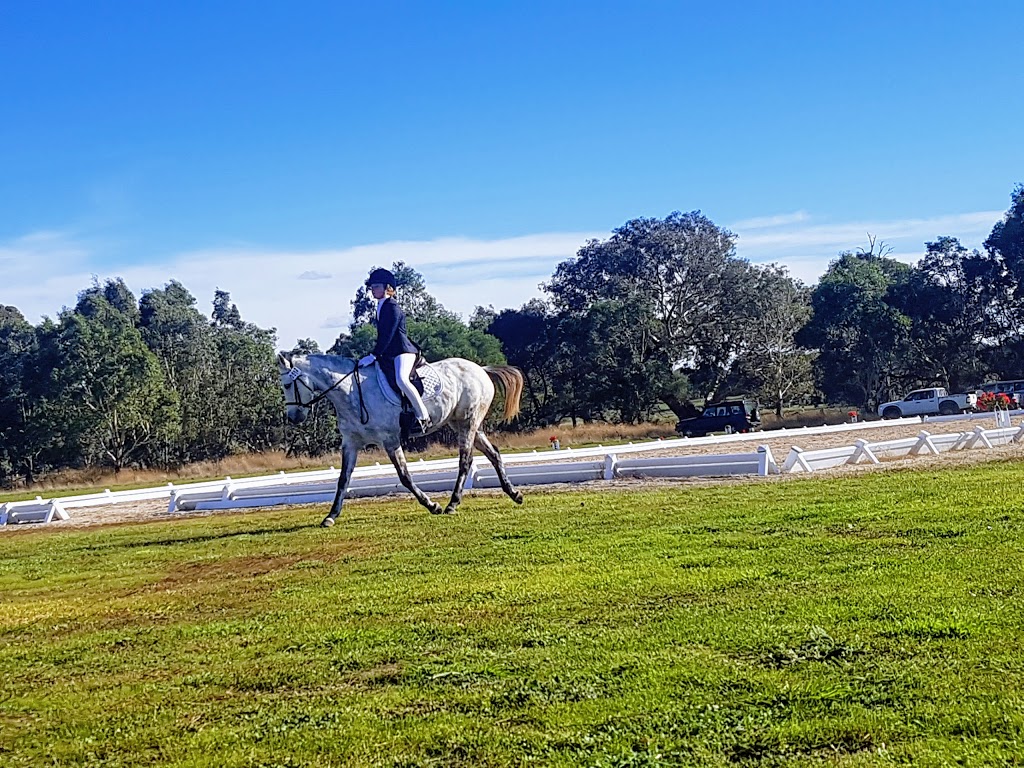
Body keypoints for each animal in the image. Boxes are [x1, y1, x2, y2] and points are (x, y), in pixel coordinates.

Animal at [274, 354, 524, 528]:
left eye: (286, 385)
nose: (293, 417)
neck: (351, 393)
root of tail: (480, 369)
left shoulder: (390, 440)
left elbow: (404, 476)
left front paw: (432, 505)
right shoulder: (351, 443)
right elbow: (343, 479)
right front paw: (330, 516)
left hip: (468, 423)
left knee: (466, 460)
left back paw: (452, 504)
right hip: (461, 424)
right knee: (493, 454)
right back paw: (514, 494)